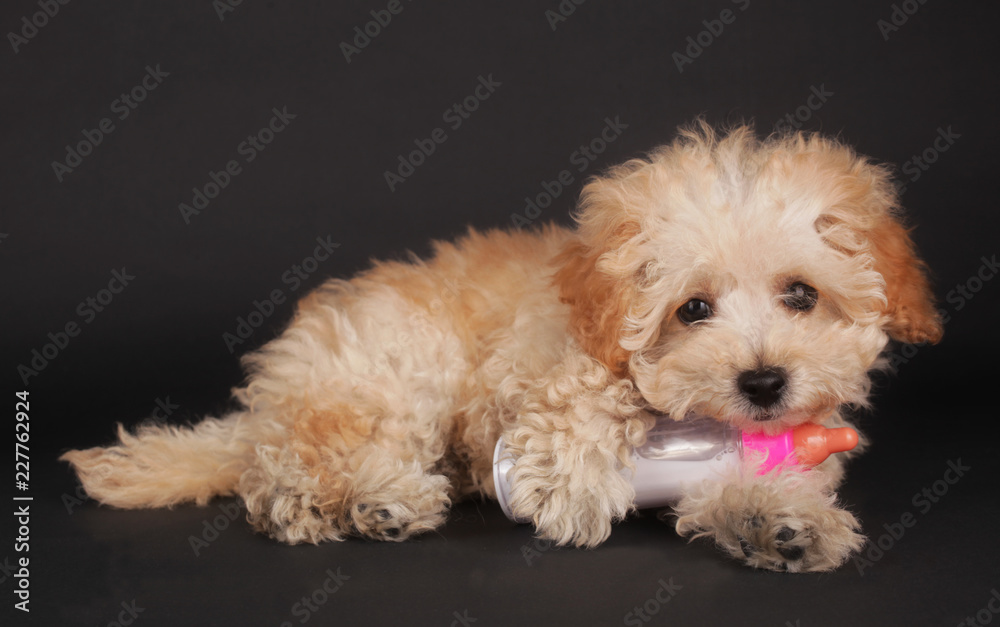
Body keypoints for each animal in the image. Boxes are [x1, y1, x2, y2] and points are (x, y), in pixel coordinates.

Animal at [60, 120, 936, 572]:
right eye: (693, 308)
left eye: (801, 295)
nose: (762, 382)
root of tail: (274, 389)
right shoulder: (527, 370)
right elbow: (585, 393)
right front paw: (570, 476)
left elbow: (729, 481)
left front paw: (779, 518)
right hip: (392, 369)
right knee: (283, 467)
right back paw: (366, 499)